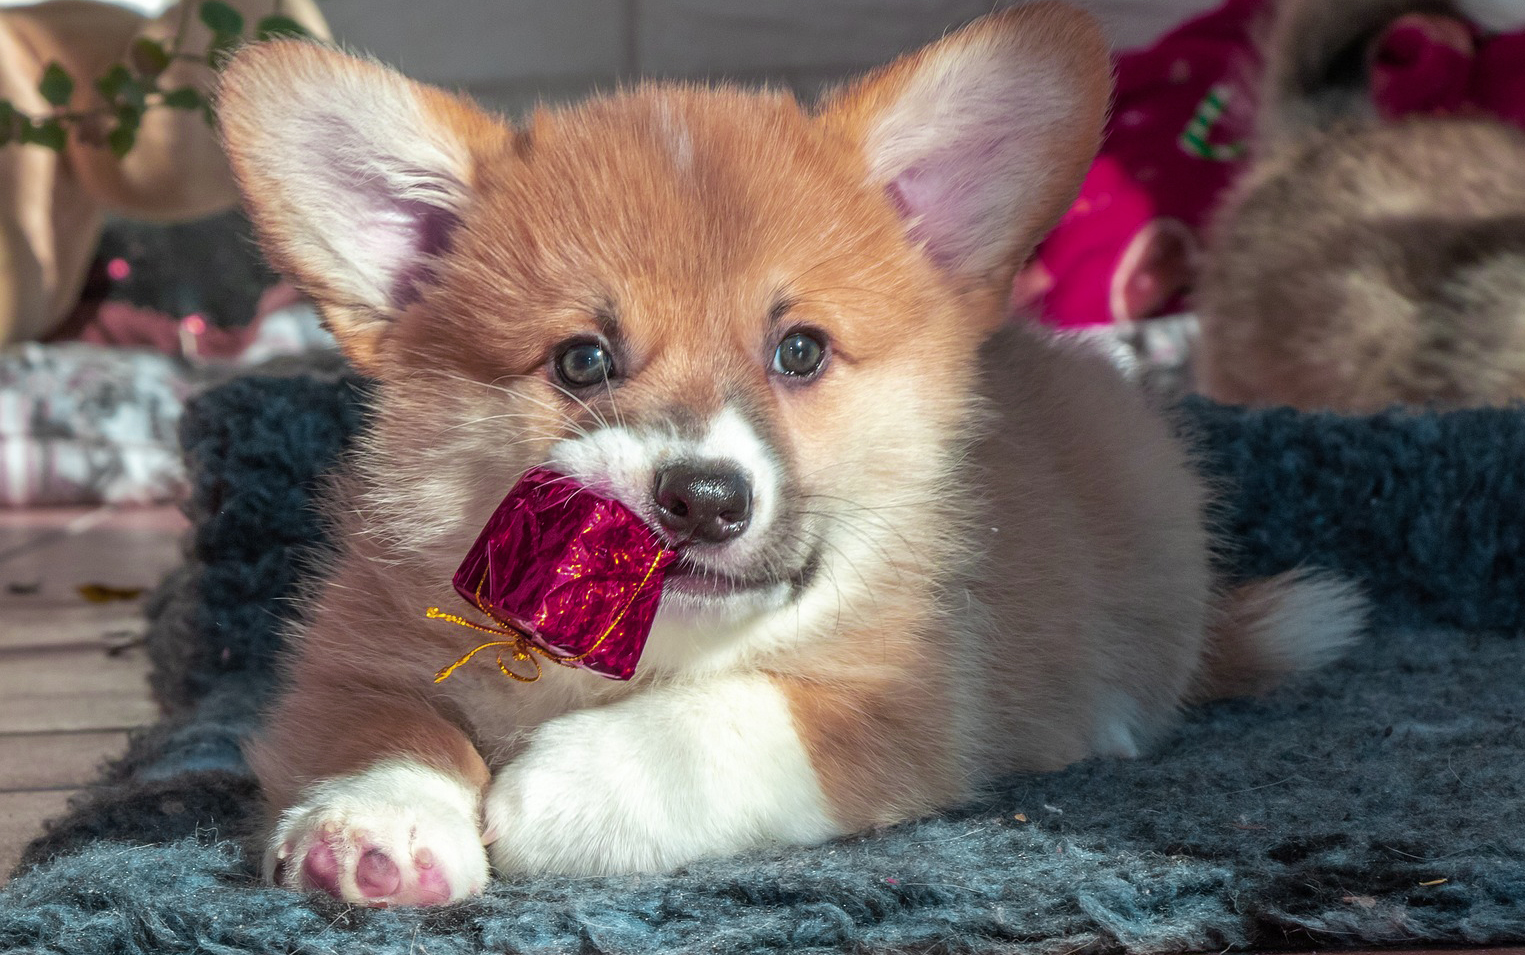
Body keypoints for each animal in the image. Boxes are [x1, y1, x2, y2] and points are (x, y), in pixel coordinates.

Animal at [211, 3, 1360, 903]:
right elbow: (381, 729)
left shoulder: (905, 704)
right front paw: (374, 826)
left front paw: (562, 789)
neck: (633, 660)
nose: (704, 497)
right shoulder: (344, 663)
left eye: (799, 350)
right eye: (583, 361)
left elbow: (735, 717)